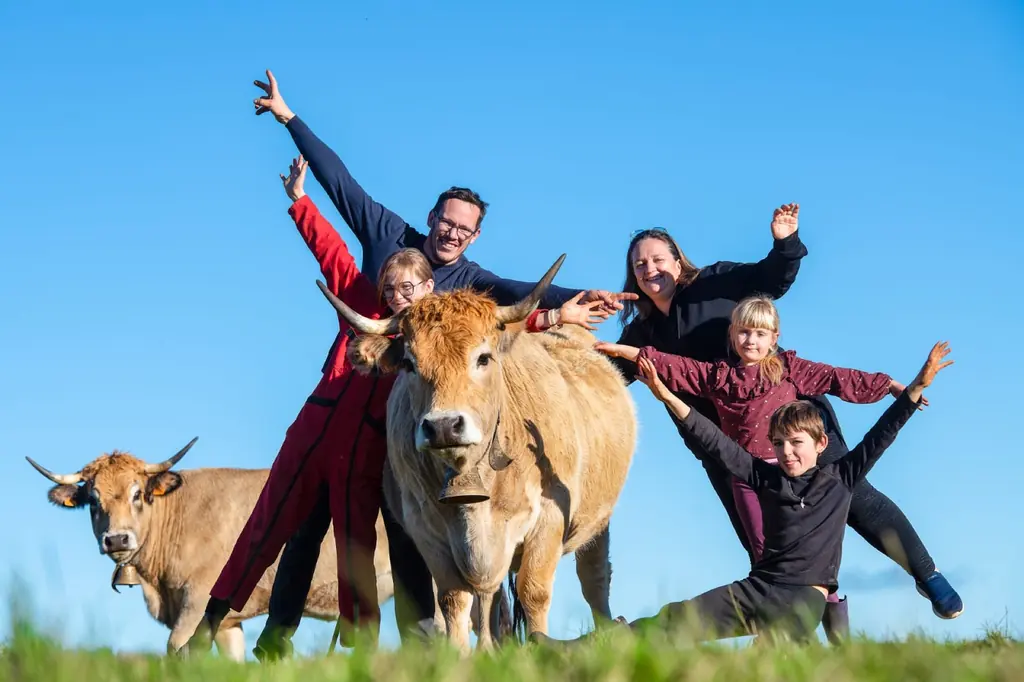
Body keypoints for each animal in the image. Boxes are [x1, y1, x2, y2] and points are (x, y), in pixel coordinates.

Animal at [25, 438, 395, 661]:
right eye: (92, 500)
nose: (116, 540)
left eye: (137, 493)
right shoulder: (228, 623)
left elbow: (178, 650)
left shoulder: (197, 604)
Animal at [316, 254, 638, 653]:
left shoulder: (549, 519)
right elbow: (455, 599)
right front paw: (459, 656)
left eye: (483, 358)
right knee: (491, 600)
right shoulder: (426, 530)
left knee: (594, 580)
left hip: (597, 522)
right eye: (408, 363)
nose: (443, 426)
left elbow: (534, 591)